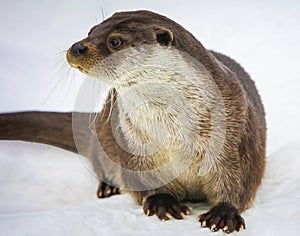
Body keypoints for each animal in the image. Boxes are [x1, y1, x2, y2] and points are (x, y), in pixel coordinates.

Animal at [0, 10, 266, 233]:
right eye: (91, 30)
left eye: (115, 41)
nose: (77, 47)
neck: (173, 132)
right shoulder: (130, 143)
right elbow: (143, 182)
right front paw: (162, 202)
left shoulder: (235, 135)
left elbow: (240, 181)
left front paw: (223, 213)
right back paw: (109, 187)